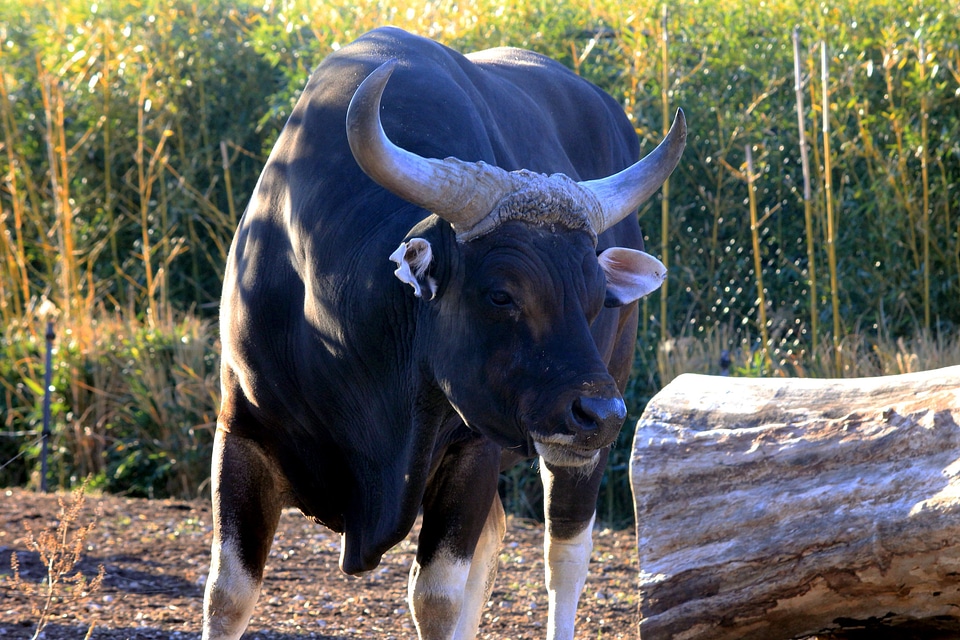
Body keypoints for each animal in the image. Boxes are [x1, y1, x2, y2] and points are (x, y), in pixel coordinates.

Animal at [201, 27, 684, 640]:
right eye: (501, 294)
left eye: (597, 296)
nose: (603, 415)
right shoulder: (242, 428)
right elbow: (228, 593)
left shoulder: (472, 447)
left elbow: (434, 597)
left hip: (578, 438)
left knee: (565, 555)